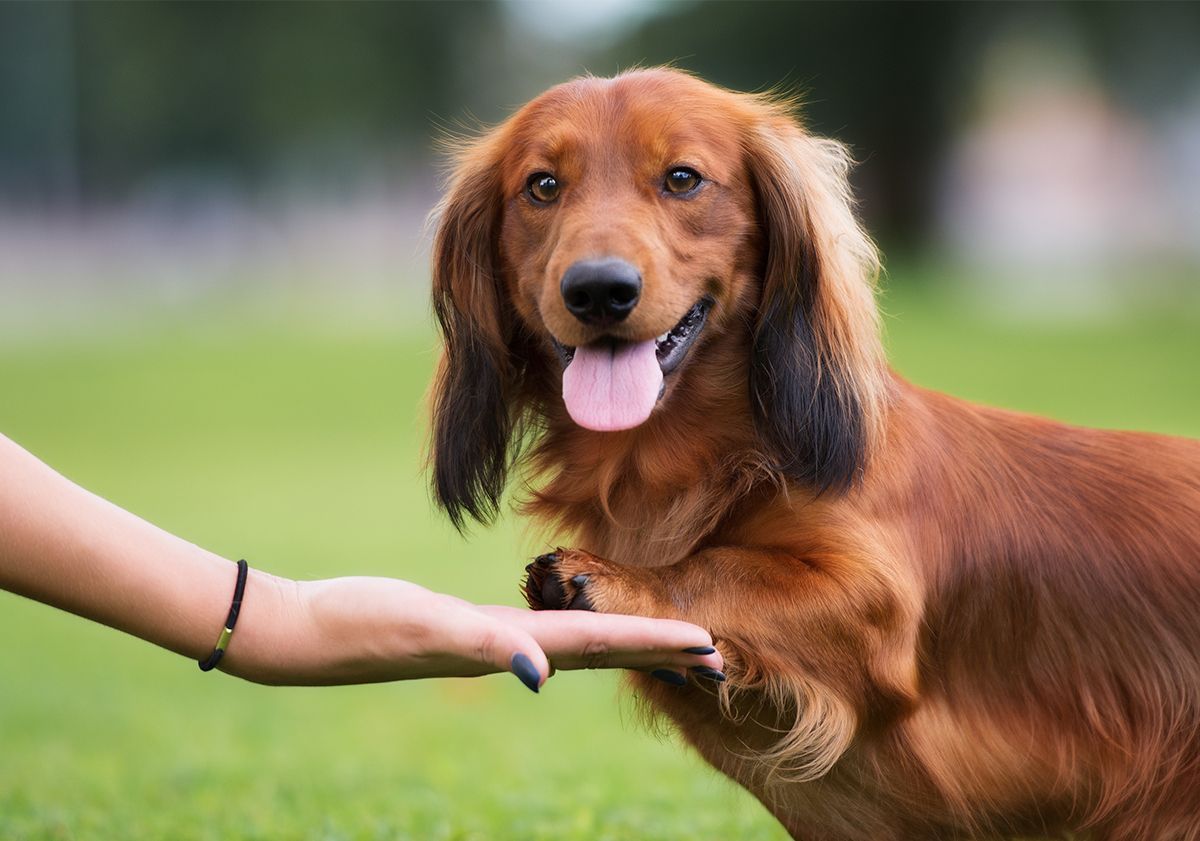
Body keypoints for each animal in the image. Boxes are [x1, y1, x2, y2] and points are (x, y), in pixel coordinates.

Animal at [427, 70, 1200, 839]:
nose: (597, 290)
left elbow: (721, 565)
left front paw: (622, 580)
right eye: (543, 185)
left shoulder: (877, 602)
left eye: (683, 178)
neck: (704, 459)